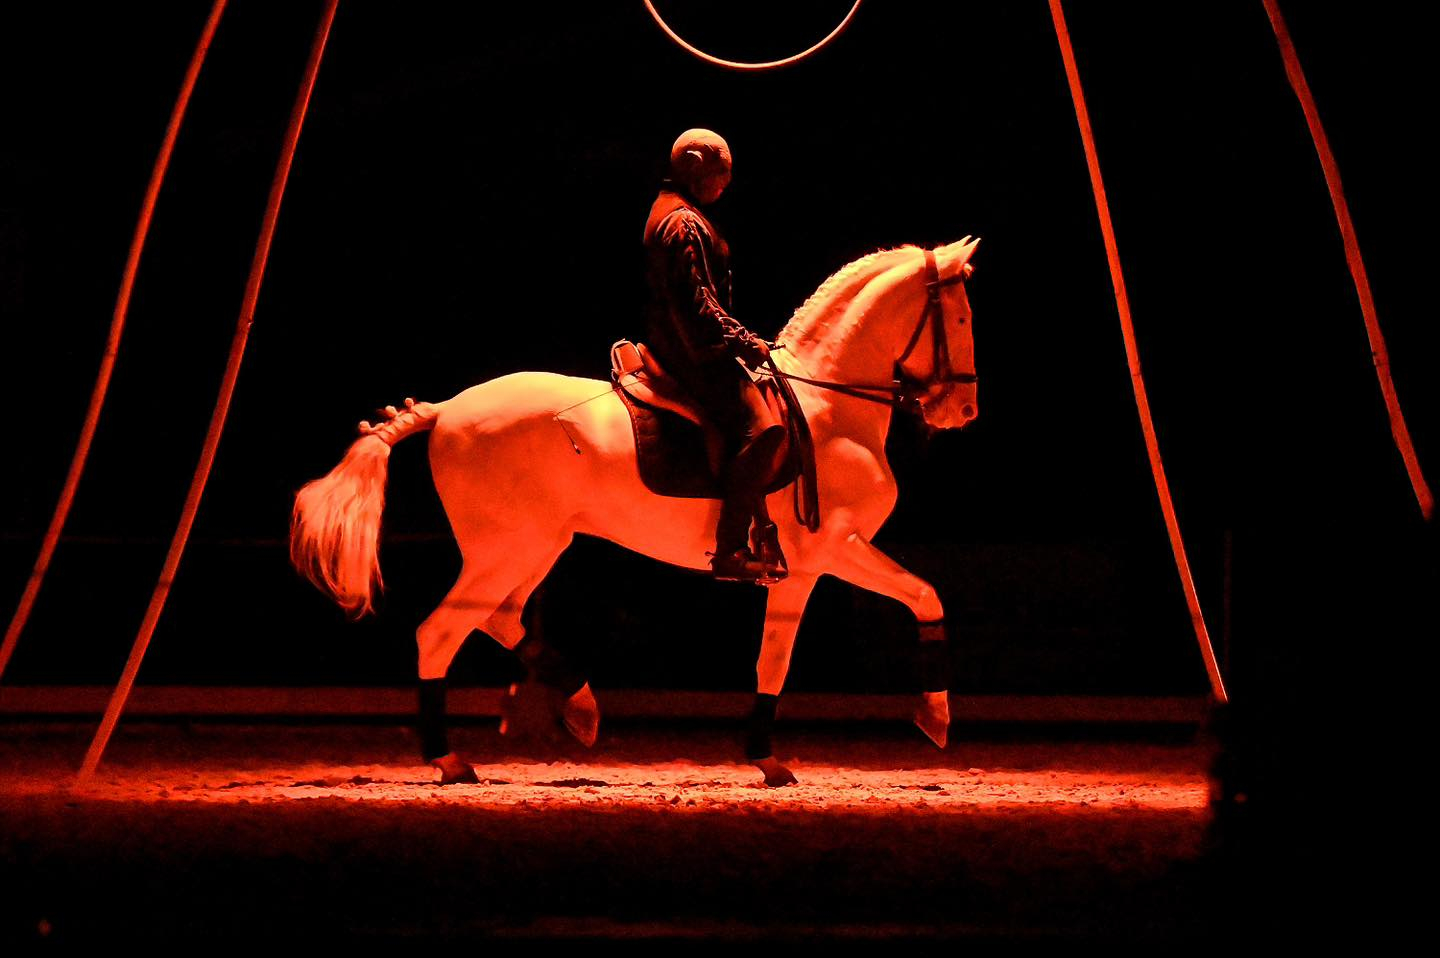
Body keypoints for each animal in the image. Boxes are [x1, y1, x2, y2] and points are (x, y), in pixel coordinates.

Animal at [298, 234, 984, 783]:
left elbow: (800, 645)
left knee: (499, 617)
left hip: (535, 545)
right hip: (508, 548)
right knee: (441, 632)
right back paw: (451, 760)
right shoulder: (829, 551)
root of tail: (446, 411)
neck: (831, 406)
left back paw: (579, 708)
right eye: (958, 316)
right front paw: (928, 716)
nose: (963, 411)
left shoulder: (815, 562)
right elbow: (901, 604)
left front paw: (775, 754)